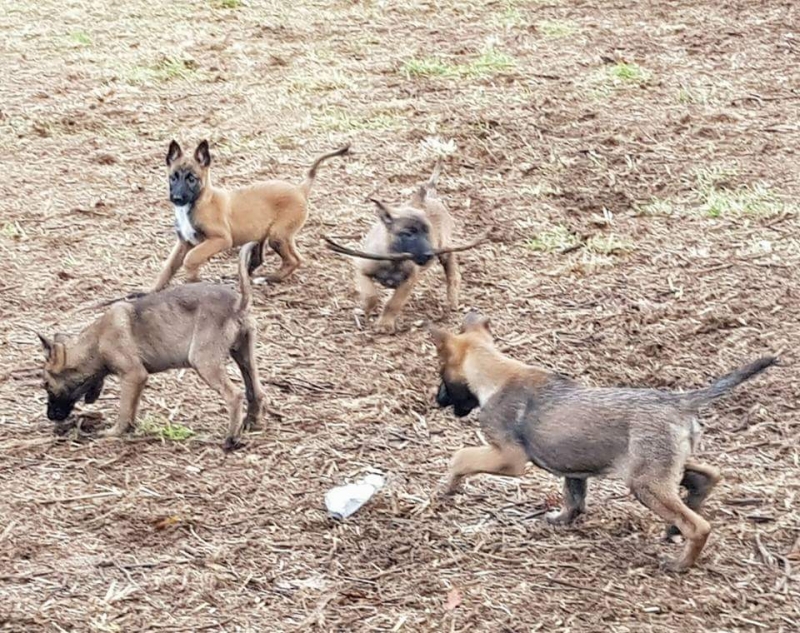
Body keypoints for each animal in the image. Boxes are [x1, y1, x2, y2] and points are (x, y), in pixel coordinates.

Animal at [40, 241, 268, 450]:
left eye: (46, 385)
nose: (50, 416)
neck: (95, 342)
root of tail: (238, 304)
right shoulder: (136, 381)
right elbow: (132, 407)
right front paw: (129, 428)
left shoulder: (133, 375)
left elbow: (124, 409)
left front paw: (114, 432)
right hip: (244, 355)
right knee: (255, 391)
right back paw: (250, 423)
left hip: (204, 362)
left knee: (235, 395)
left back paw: (231, 439)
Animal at [152, 139, 348, 290]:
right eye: (173, 177)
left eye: (192, 179)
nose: (177, 198)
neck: (197, 202)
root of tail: (300, 189)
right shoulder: (183, 243)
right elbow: (168, 267)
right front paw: (152, 290)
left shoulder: (220, 239)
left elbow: (191, 258)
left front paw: (193, 279)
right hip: (268, 236)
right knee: (270, 260)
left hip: (278, 235)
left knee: (293, 260)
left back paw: (267, 278)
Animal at [354, 160, 460, 334]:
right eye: (408, 234)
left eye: (427, 232)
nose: (429, 254)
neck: (393, 260)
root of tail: (427, 197)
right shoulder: (362, 270)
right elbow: (370, 295)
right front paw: (368, 309)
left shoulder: (408, 282)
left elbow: (393, 303)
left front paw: (385, 324)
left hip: (445, 248)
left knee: (452, 272)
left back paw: (452, 299)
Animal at [428, 314, 780, 572]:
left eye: (442, 374)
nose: (437, 400)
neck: (495, 373)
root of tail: (679, 402)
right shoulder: (573, 469)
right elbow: (574, 498)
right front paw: (562, 520)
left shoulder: (508, 458)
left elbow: (461, 457)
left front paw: (448, 486)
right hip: (661, 467)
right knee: (706, 477)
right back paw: (674, 529)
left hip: (645, 482)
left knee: (699, 526)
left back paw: (679, 563)